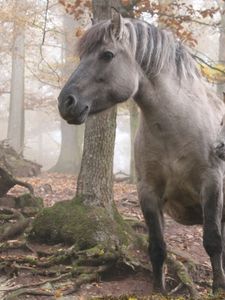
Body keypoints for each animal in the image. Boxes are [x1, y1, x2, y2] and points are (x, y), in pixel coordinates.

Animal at [57, 11, 225, 292]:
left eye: (107, 55)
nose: (66, 103)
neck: (177, 128)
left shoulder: (211, 185)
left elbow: (213, 241)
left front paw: (218, 288)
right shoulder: (148, 191)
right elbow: (157, 246)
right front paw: (159, 290)